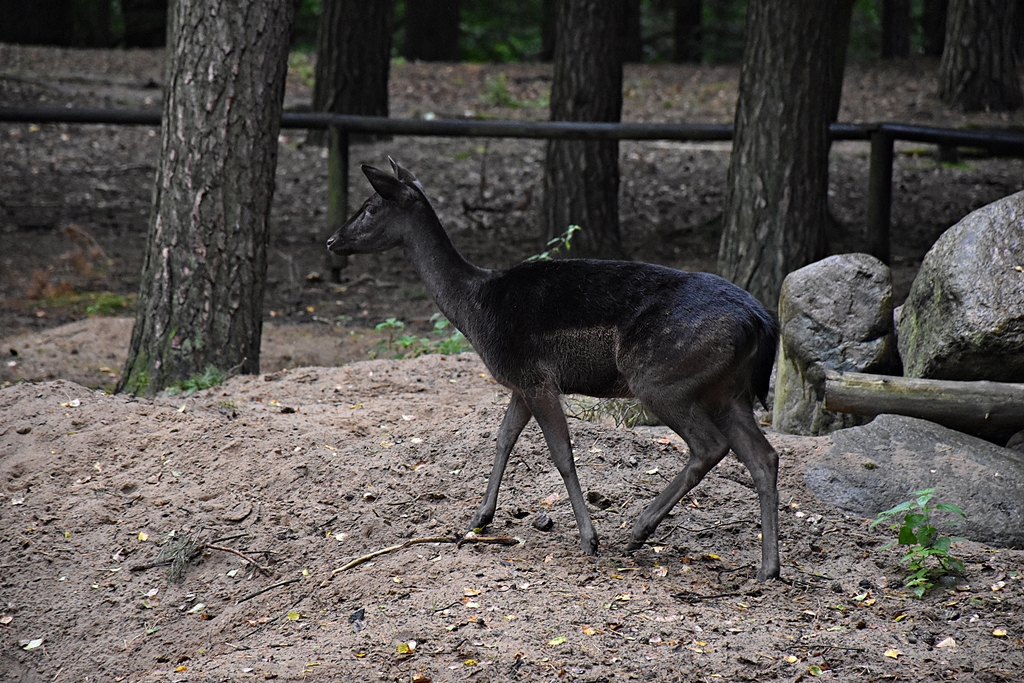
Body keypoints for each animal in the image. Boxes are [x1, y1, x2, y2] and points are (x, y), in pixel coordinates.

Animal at [328, 160, 782, 581]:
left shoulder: (536, 378)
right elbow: (503, 438)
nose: (332, 240)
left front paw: (588, 538)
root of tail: (760, 320)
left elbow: (561, 452)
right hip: (727, 390)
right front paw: (479, 519)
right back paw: (767, 568)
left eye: (370, 207)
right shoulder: (517, 382)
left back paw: (638, 531)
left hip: (661, 379)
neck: (475, 309)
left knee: (710, 446)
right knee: (764, 456)